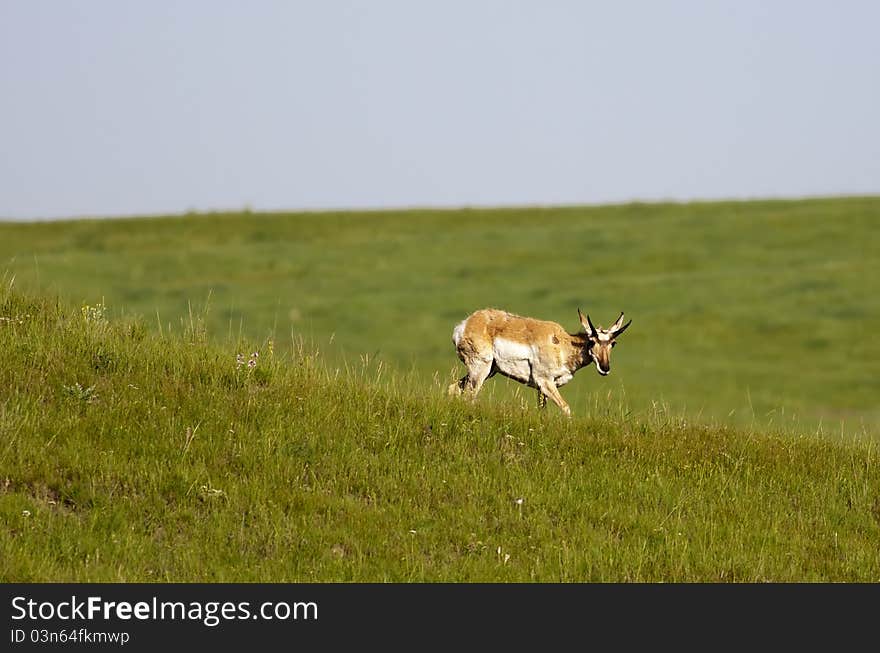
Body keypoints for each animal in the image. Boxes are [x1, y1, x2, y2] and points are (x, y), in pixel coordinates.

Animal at [450, 306, 628, 418]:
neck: (563, 344)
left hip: (489, 371)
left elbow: (542, 412)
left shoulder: (543, 389)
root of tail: (464, 325)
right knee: (469, 396)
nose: (605, 368)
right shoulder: (545, 381)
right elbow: (566, 408)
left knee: (454, 388)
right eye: (592, 341)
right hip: (481, 370)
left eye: (613, 343)